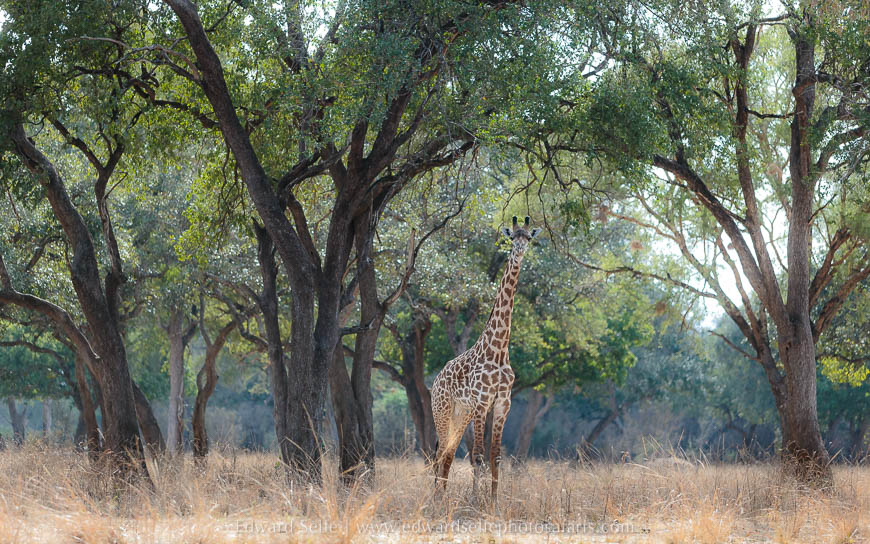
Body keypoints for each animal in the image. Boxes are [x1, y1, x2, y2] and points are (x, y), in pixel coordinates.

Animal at [430, 215, 540, 504]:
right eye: (513, 237)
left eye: (529, 237)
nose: (520, 251)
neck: (499, 348)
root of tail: (435, 380)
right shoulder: (482, 401)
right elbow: (479, 455)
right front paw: (474, 501)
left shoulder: (503, 402)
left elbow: (496, 456)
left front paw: (493, 502)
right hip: (442, 409)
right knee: (438, 453)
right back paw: (433, 499)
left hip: (461, 414)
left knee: (447, 453)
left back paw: (441, 497)